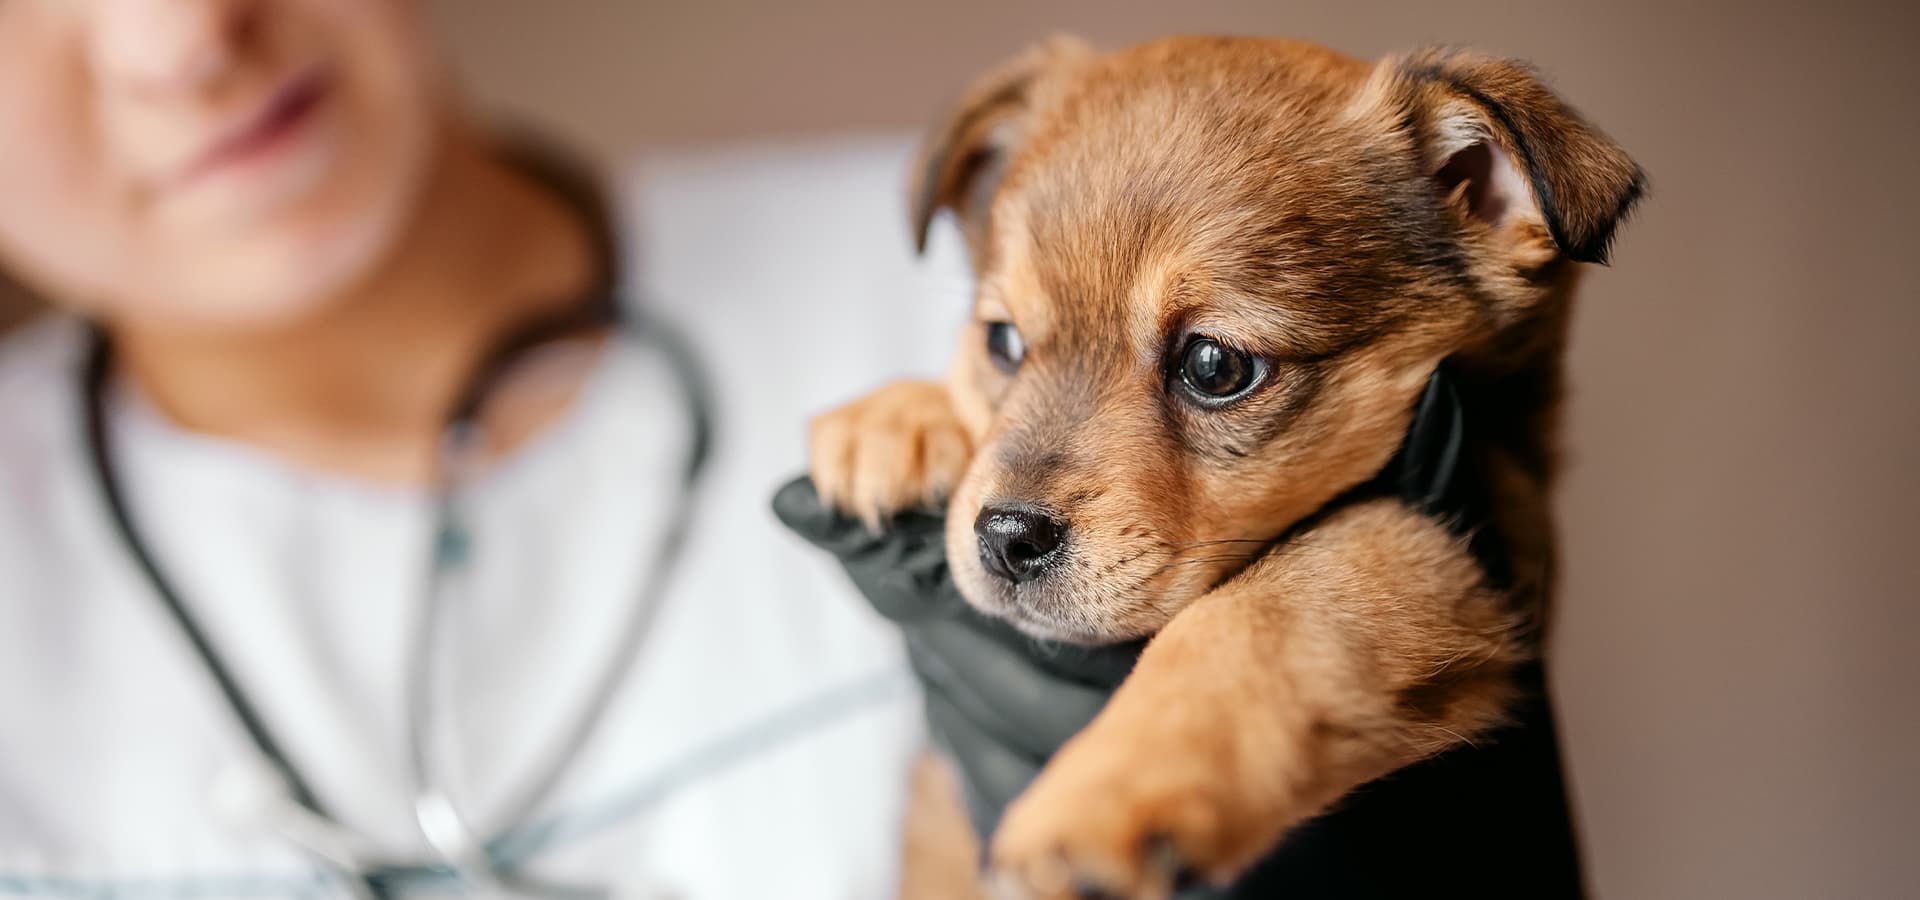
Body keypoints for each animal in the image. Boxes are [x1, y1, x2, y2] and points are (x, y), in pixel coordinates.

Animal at [806, 36, 1635, 898]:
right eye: (1001, 341)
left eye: (1213, 365)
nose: (1004, 537)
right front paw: (895, 420)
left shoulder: (1444, 541)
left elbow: (1253, 617)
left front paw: (1106, 794)